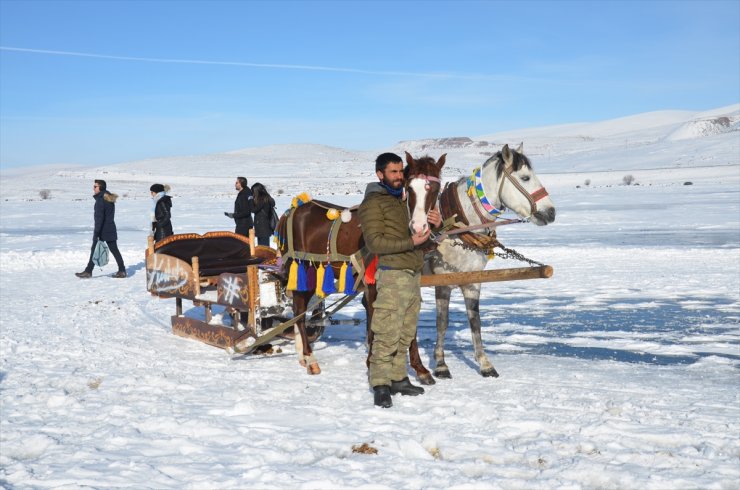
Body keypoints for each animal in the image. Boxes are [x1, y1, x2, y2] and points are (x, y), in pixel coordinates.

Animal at [274, 151, 442, 374]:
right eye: (410, 187)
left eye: (436, 189)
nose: (419, 227)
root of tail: (293, 210)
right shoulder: (373, 284)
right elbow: (376, 318)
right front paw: (374, 362)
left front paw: (419, 367)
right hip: (304, 272)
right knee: (299, 312)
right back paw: (310, 358)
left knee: (297, 309)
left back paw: (302, 355)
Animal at [422, 142, 556, 378]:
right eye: (525, 178)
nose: (551, 212)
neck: (459, 225)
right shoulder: (442, 281)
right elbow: (442, 322)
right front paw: (440, 364)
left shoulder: (473, 281)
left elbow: (475, 322)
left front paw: (485, 364)